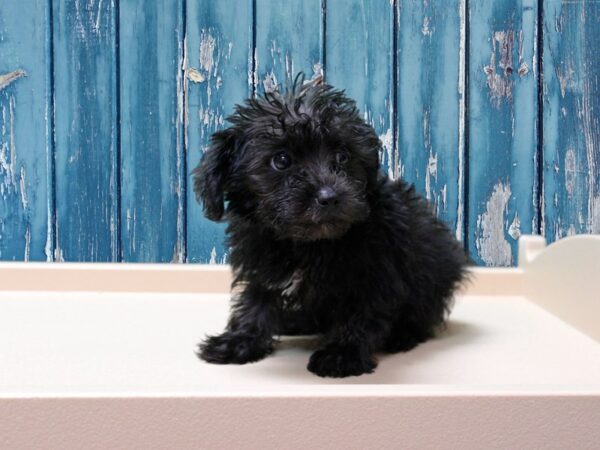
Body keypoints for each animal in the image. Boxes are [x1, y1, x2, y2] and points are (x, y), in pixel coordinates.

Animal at [195, 75, 466, 378]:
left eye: (343, 157)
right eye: (281, 160)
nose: (329, 196)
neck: (306, 245)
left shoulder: (376, 272)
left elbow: (362, 312)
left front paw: (343, 353)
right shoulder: (261, 264)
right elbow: (255, 302)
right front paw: (239, 340)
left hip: (432, 270)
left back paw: (402, 336)